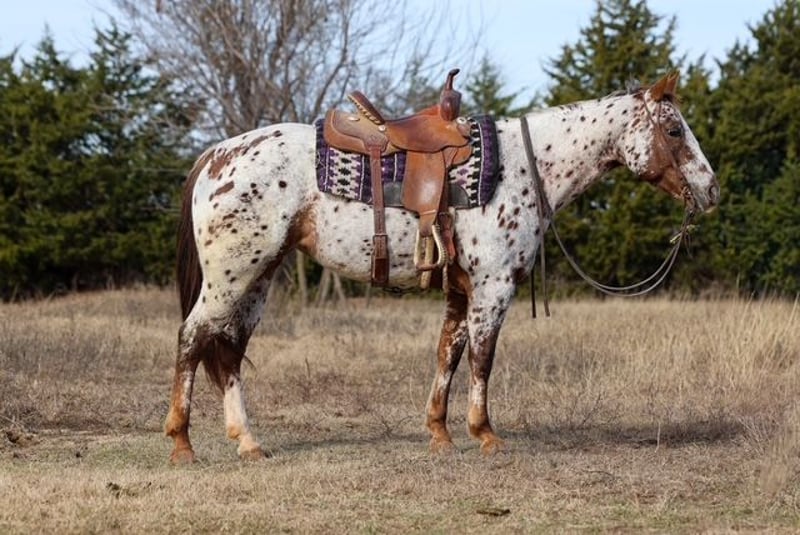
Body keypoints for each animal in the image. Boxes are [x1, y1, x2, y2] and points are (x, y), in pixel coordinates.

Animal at [165, 72, 719, 463]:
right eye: (674, 129)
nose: (711, 189)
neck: (524, 167)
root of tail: (216, 155)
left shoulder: (461, 290)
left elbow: (447, 356)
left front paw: (440, 434)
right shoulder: (493, 288)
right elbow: (481, 360)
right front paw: (485, 434)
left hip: (257, 279)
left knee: (229, 352)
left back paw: (248, 442)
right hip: (231, 277)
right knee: (192, 337)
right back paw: (182, 443)